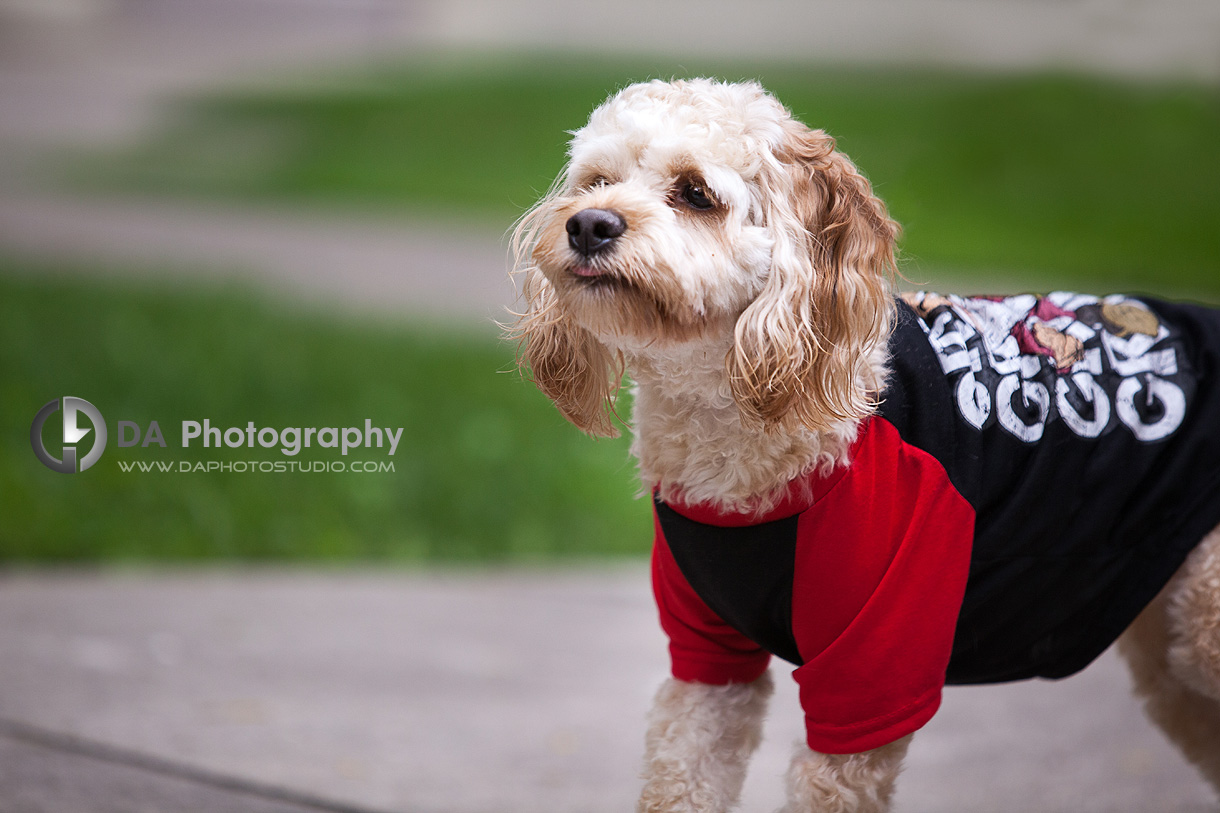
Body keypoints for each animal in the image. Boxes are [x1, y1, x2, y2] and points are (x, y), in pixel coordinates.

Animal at [505, 77, 1220, 810]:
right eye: (597, 182)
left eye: (695, 193)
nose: (587, 225)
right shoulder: (707, 659)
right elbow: (682, 777)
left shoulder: (870, 670)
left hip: (1202, 619)